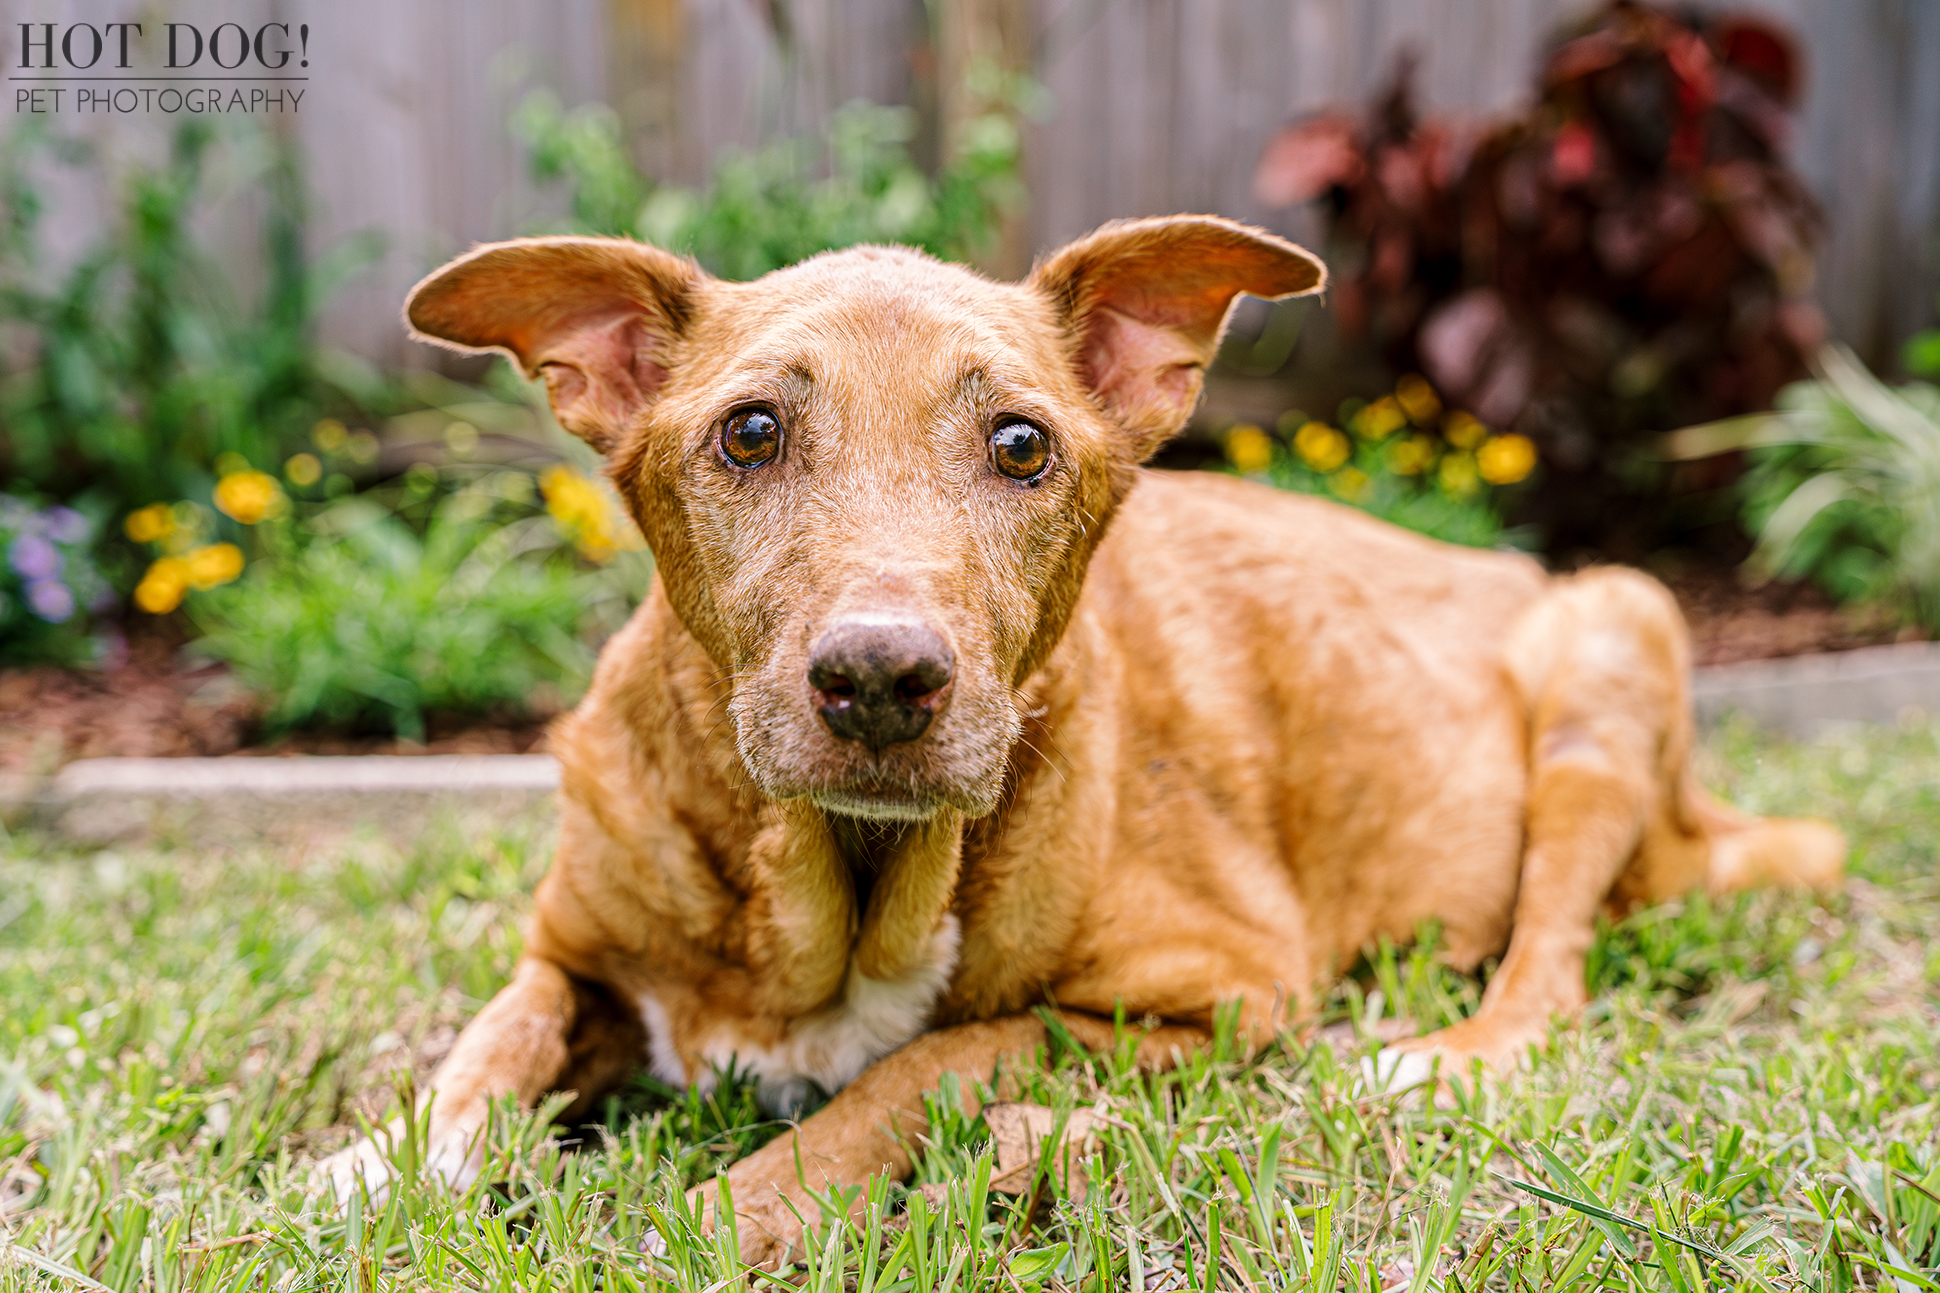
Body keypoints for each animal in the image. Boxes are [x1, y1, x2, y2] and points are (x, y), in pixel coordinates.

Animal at [322, 213, 1846, 1258]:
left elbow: (927, 1063)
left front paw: (732, 1207)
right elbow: (491, 1045)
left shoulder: (1217, 999)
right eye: (749, 432)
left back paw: (1433, 1058)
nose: (880, 679)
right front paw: (378, 1160)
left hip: (1614, 639)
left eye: (1020, 446)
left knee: (1555, 962)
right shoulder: (569, 953)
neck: (839, 888)